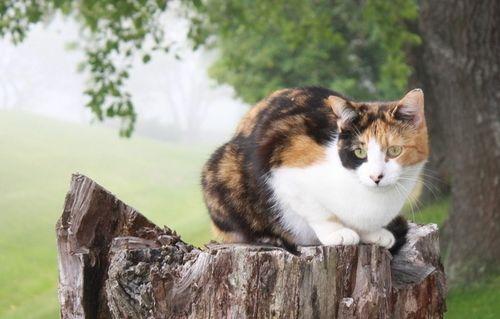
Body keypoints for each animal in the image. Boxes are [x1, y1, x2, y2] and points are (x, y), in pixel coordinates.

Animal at [201, 85, 428, 255]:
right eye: (360, 152)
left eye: (394, 150)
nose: (376, 176)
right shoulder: (286, 170)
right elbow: (318, 211)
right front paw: (338, 232)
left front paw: (373, 234)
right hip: (222, 172)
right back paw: (269, 237)